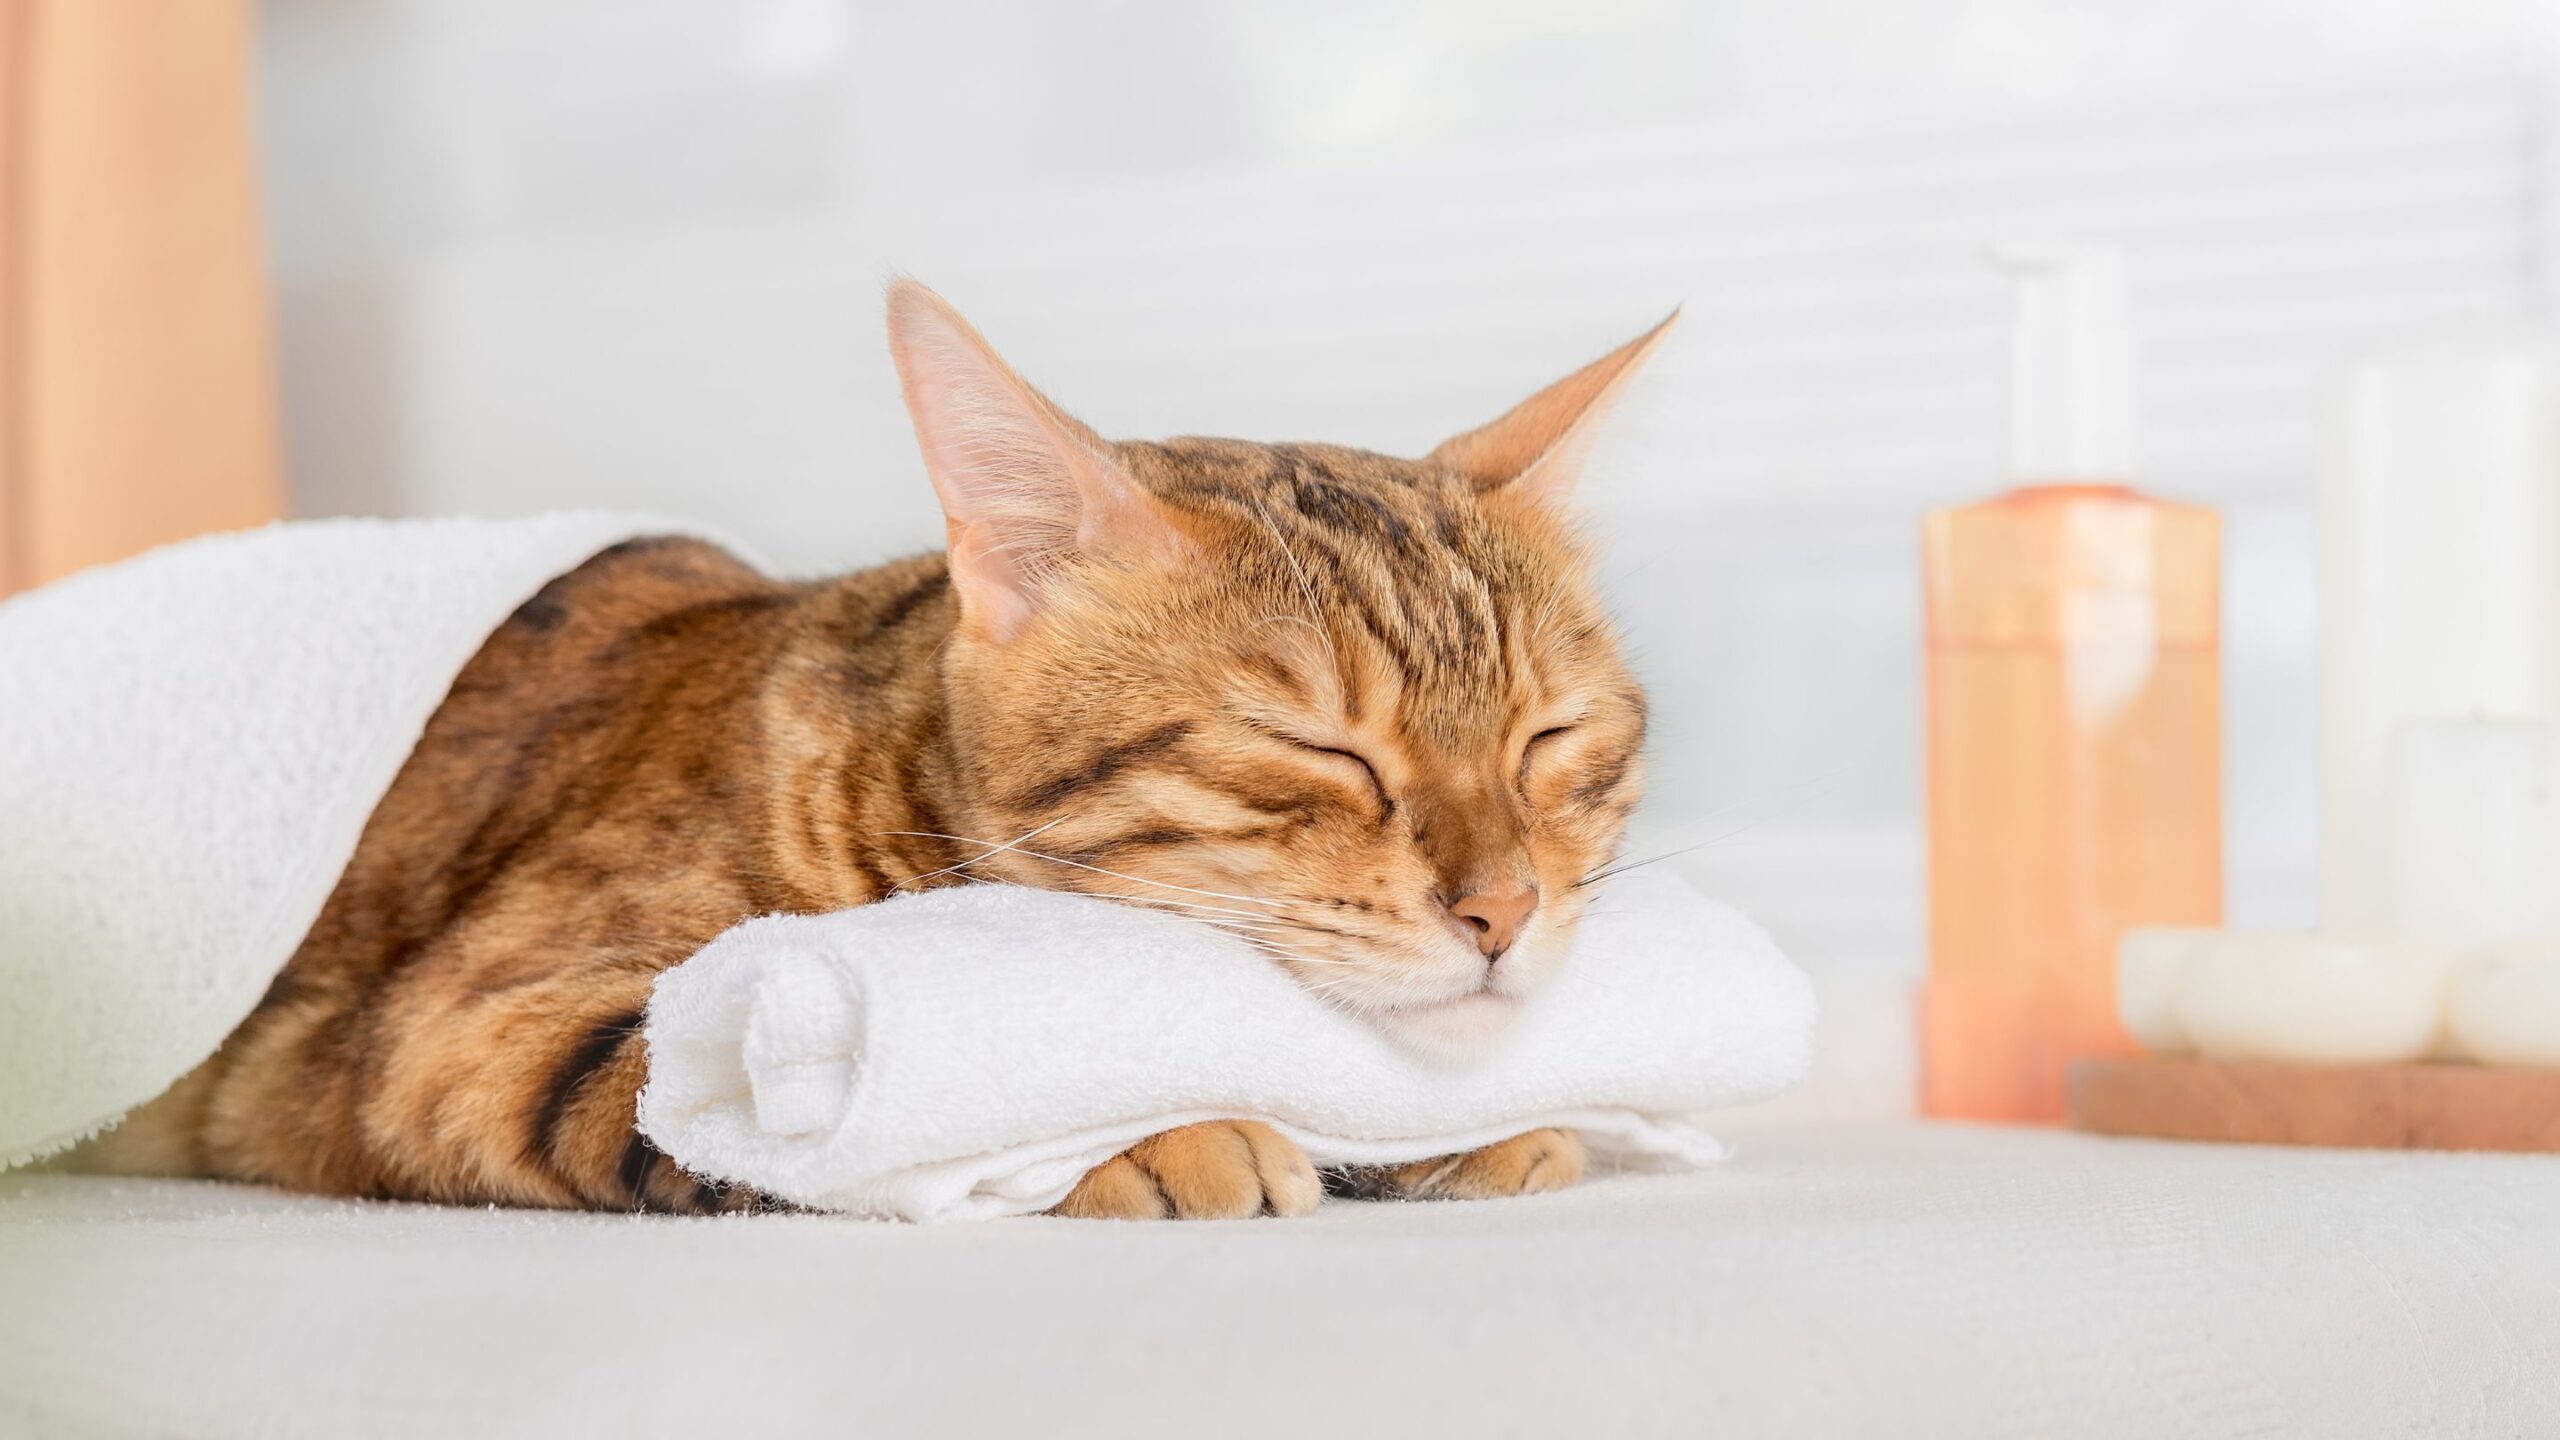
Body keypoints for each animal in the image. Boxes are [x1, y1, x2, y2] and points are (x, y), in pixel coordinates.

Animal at [74, 280, 1658, 1209]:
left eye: (1549, 737)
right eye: (1318, 749)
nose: (1504, 910)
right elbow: (860, 1121)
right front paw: (1163, 1135)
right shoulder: (459, 1033)